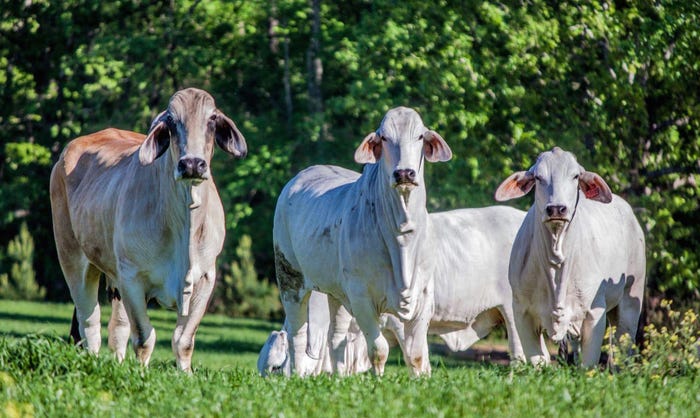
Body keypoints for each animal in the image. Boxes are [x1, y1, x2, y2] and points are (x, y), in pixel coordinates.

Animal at [49, 86, 246, 370]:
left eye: (212, 119)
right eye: (171, 121)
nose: (192, 164)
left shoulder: (206, 277)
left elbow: (183, 340)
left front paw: (185, 374)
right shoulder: (132, 277)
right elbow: (144, 338)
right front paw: (141, 373)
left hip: (115, 277)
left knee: (117, 328)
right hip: (73, 259)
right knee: (90, 324)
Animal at [270, 107, 452, 376]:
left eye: (420, 136)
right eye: (384, 138)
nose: (404, 173)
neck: (402, 235)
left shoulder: (423, 298)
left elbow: (417, 354)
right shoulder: (361, 297)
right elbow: (379, 349)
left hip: (336, 292)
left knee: (335, 337)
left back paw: (339, 376)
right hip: (289, 278)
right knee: (297, 334)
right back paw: (297, 374)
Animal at [492, 146, 644, 366]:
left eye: (575, 176)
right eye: (538, 177)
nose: (556, 208)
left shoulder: (594, 315)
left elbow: (587, 365)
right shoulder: (522, 313)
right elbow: (537, 361)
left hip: (631, 298)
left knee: (623, 348)